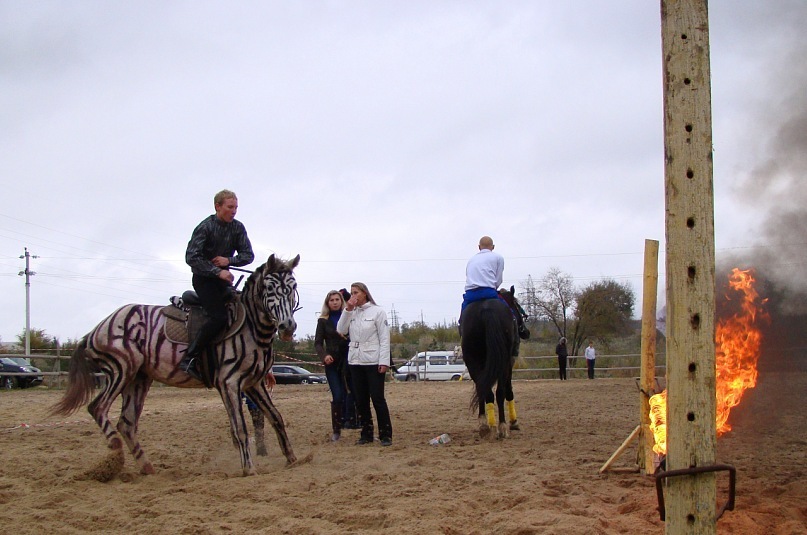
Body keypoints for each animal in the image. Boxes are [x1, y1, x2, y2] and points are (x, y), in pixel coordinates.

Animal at [50, 255, 304, 478]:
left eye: (293, 286)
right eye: (269, 287)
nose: (288, 327)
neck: (250, 329)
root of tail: (96, 330)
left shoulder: (254, 383)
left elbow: (275, 417)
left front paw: (293, 459)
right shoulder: (229, 383)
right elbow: (240, 428)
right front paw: (249, 469)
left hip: (138, 379)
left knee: (127, 423)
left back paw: (147, 468)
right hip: (120, 370)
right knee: (98, 408)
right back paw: (115, 451)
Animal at [460, 286, 532, 438]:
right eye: (516, 304)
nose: (526, 332)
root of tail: (486, 309)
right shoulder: (510, 363)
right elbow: (509, 390)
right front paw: (514, 422)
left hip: (472, 361)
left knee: (483, 389)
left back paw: (486, 426)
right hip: (503, 362)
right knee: (500, 392)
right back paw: (501, 426)